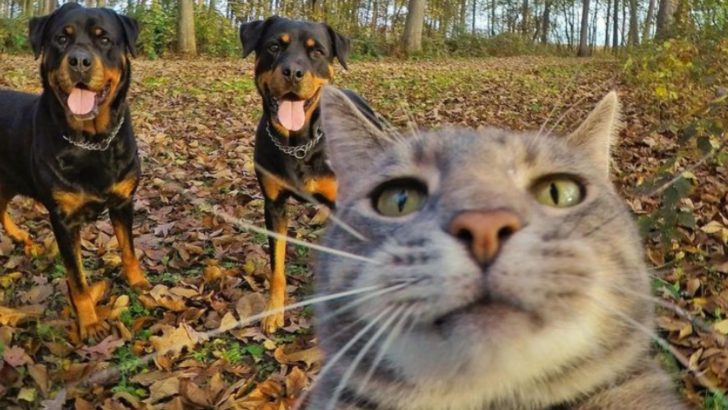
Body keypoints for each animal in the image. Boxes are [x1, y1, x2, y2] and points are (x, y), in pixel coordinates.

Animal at [240, 16, 378, 334]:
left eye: (317, 51)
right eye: (274, 46)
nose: (293, 72)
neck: (298, 143)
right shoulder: (274, 205)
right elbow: (277, 263)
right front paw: (273, 310)